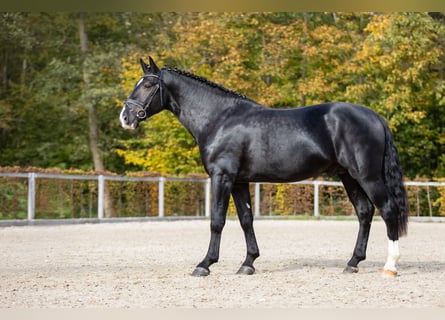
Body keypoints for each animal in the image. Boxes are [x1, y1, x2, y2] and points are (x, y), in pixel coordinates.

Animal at [119, 57, 408, 278]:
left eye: (148, 84)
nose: (125, 117)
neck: (220, 119)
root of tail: (375, 116)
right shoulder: (239, 181)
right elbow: (246, 220)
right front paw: (248, 263)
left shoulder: (222, 177)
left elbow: (217, 220)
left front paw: (205, 265)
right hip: (348, 176)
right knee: (364, 212)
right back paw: (352, 263)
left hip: (367, 175)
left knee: (388, 209)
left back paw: (390, 267)